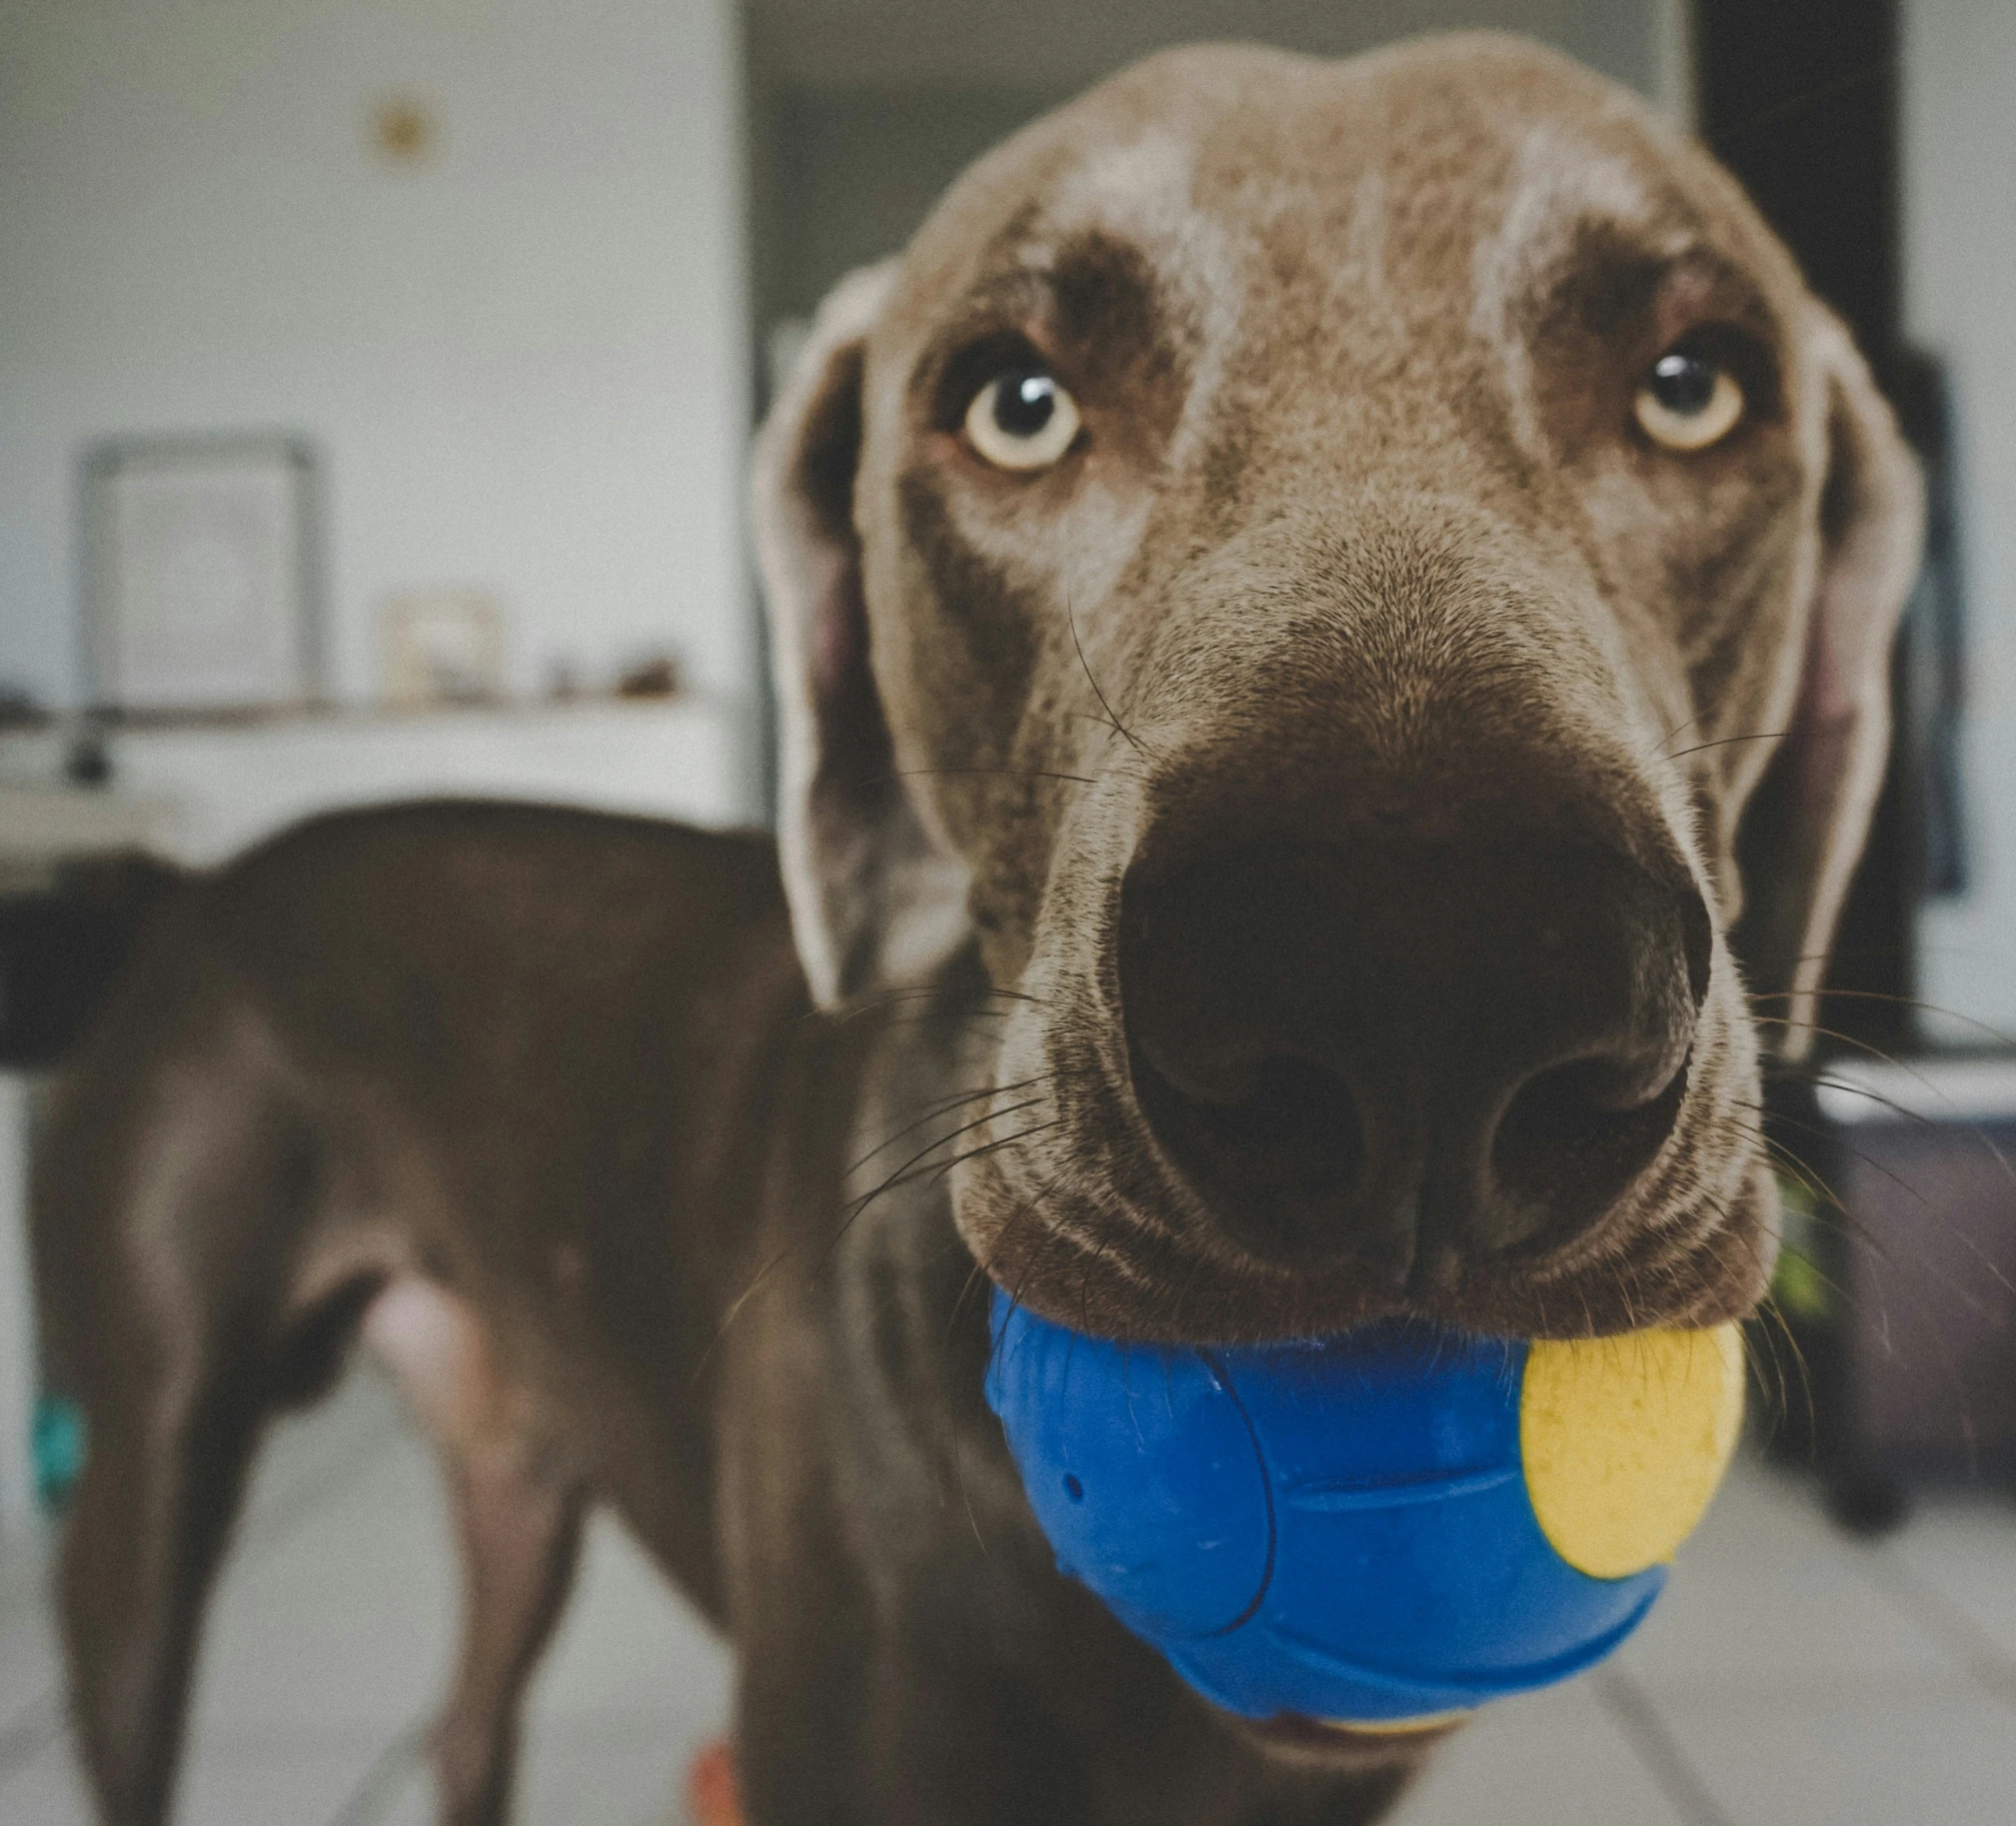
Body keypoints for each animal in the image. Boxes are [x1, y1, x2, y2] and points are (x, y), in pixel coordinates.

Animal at [35, 35, 1919, 1821]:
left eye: (1691, 388)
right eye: (1016, 405)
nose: (1421, 995)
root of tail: (197, 885)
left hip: (514, 1455)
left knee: (465, 1716)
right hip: (142, 1475)